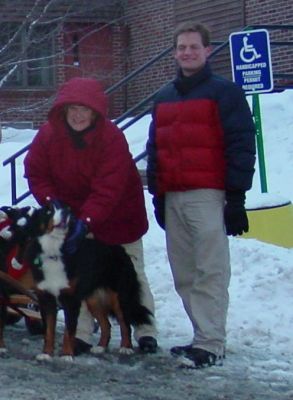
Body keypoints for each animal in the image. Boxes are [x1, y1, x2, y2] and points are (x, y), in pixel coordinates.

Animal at [24, 202, 152, 360]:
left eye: (64, 208)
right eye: (48, 211)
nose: (66, 212)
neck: (54, 252)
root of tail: (120, 250)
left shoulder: (71, 300)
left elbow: (69, 332)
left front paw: (66, 355)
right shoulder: (46, 298)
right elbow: (48, 331)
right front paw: (46, 354)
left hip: (120, 297)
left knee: (125, 323)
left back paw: (126, 348)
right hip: (93, 299)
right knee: (106, 324)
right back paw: (100, 347)